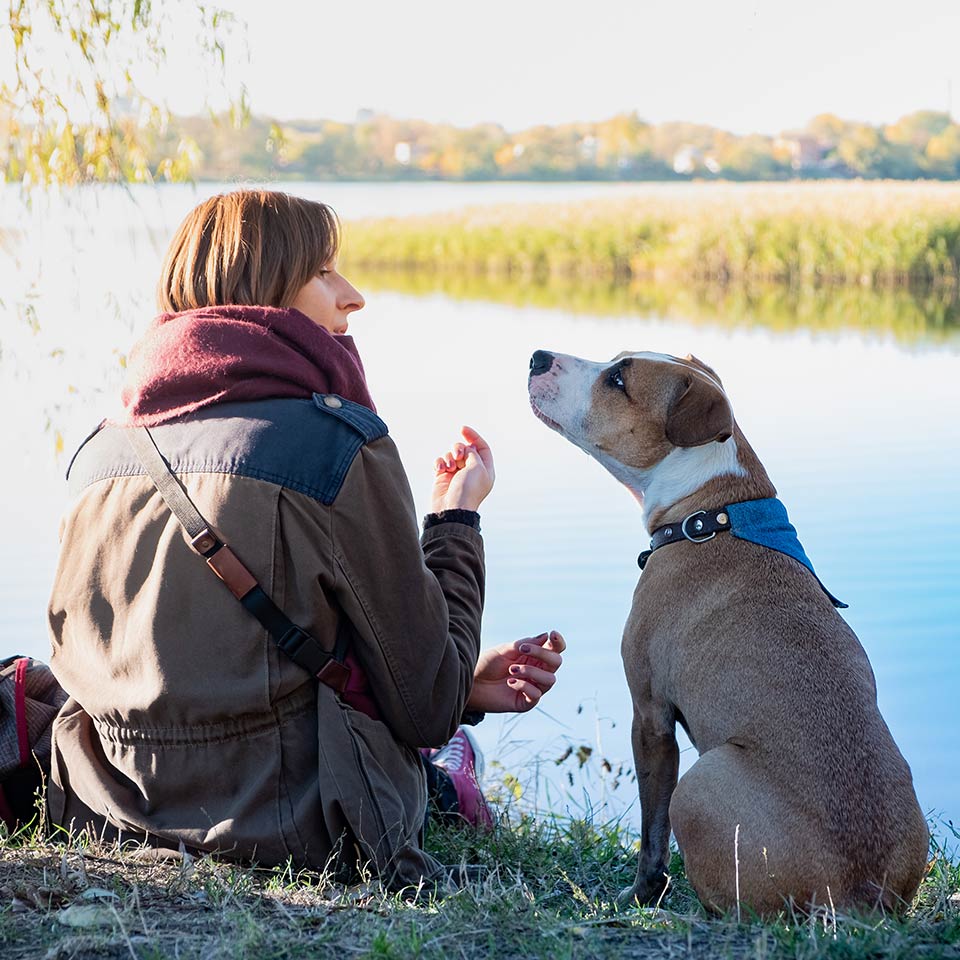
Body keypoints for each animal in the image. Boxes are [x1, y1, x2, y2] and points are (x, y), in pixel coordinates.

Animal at [528, 350, 928, 916]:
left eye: (618, 378)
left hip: (700, 782)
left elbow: (651, 834)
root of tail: (859, 895)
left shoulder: (650, 715)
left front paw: (640, 895)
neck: (709, 513)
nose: (538, 356)